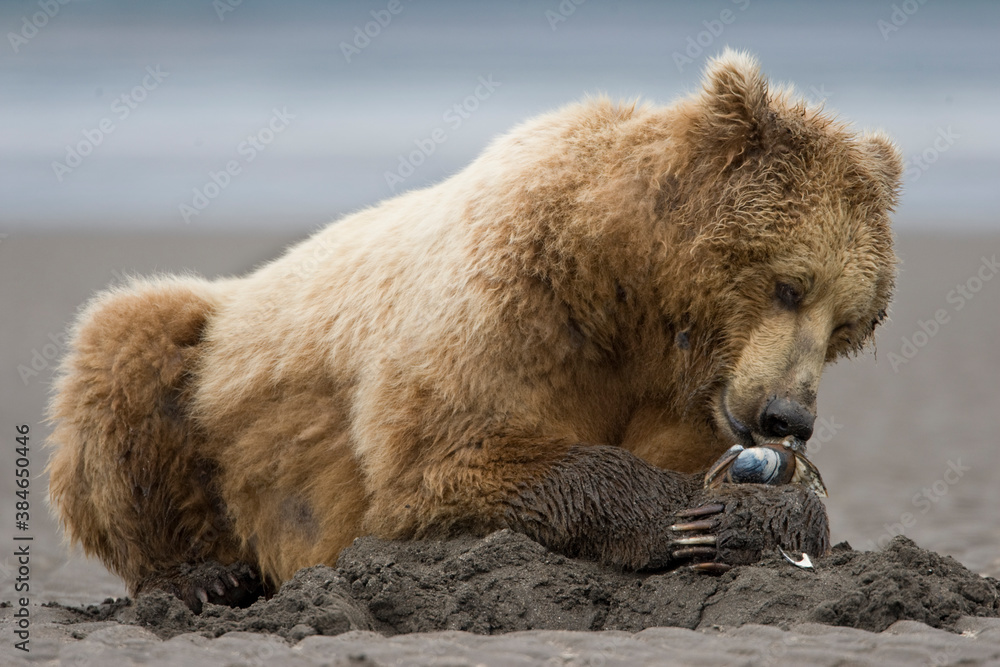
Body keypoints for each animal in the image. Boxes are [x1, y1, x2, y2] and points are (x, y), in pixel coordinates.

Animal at [47, 50, 901, 611]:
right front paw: (687, 515)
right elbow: (446, 458)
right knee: (125, 345)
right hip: (212, 356)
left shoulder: (680, 394)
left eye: (848, 323)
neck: (626, 289)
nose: (789, 416)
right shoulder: (508, 308)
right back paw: (202, 575)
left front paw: (751, 515)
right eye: (791, 283)